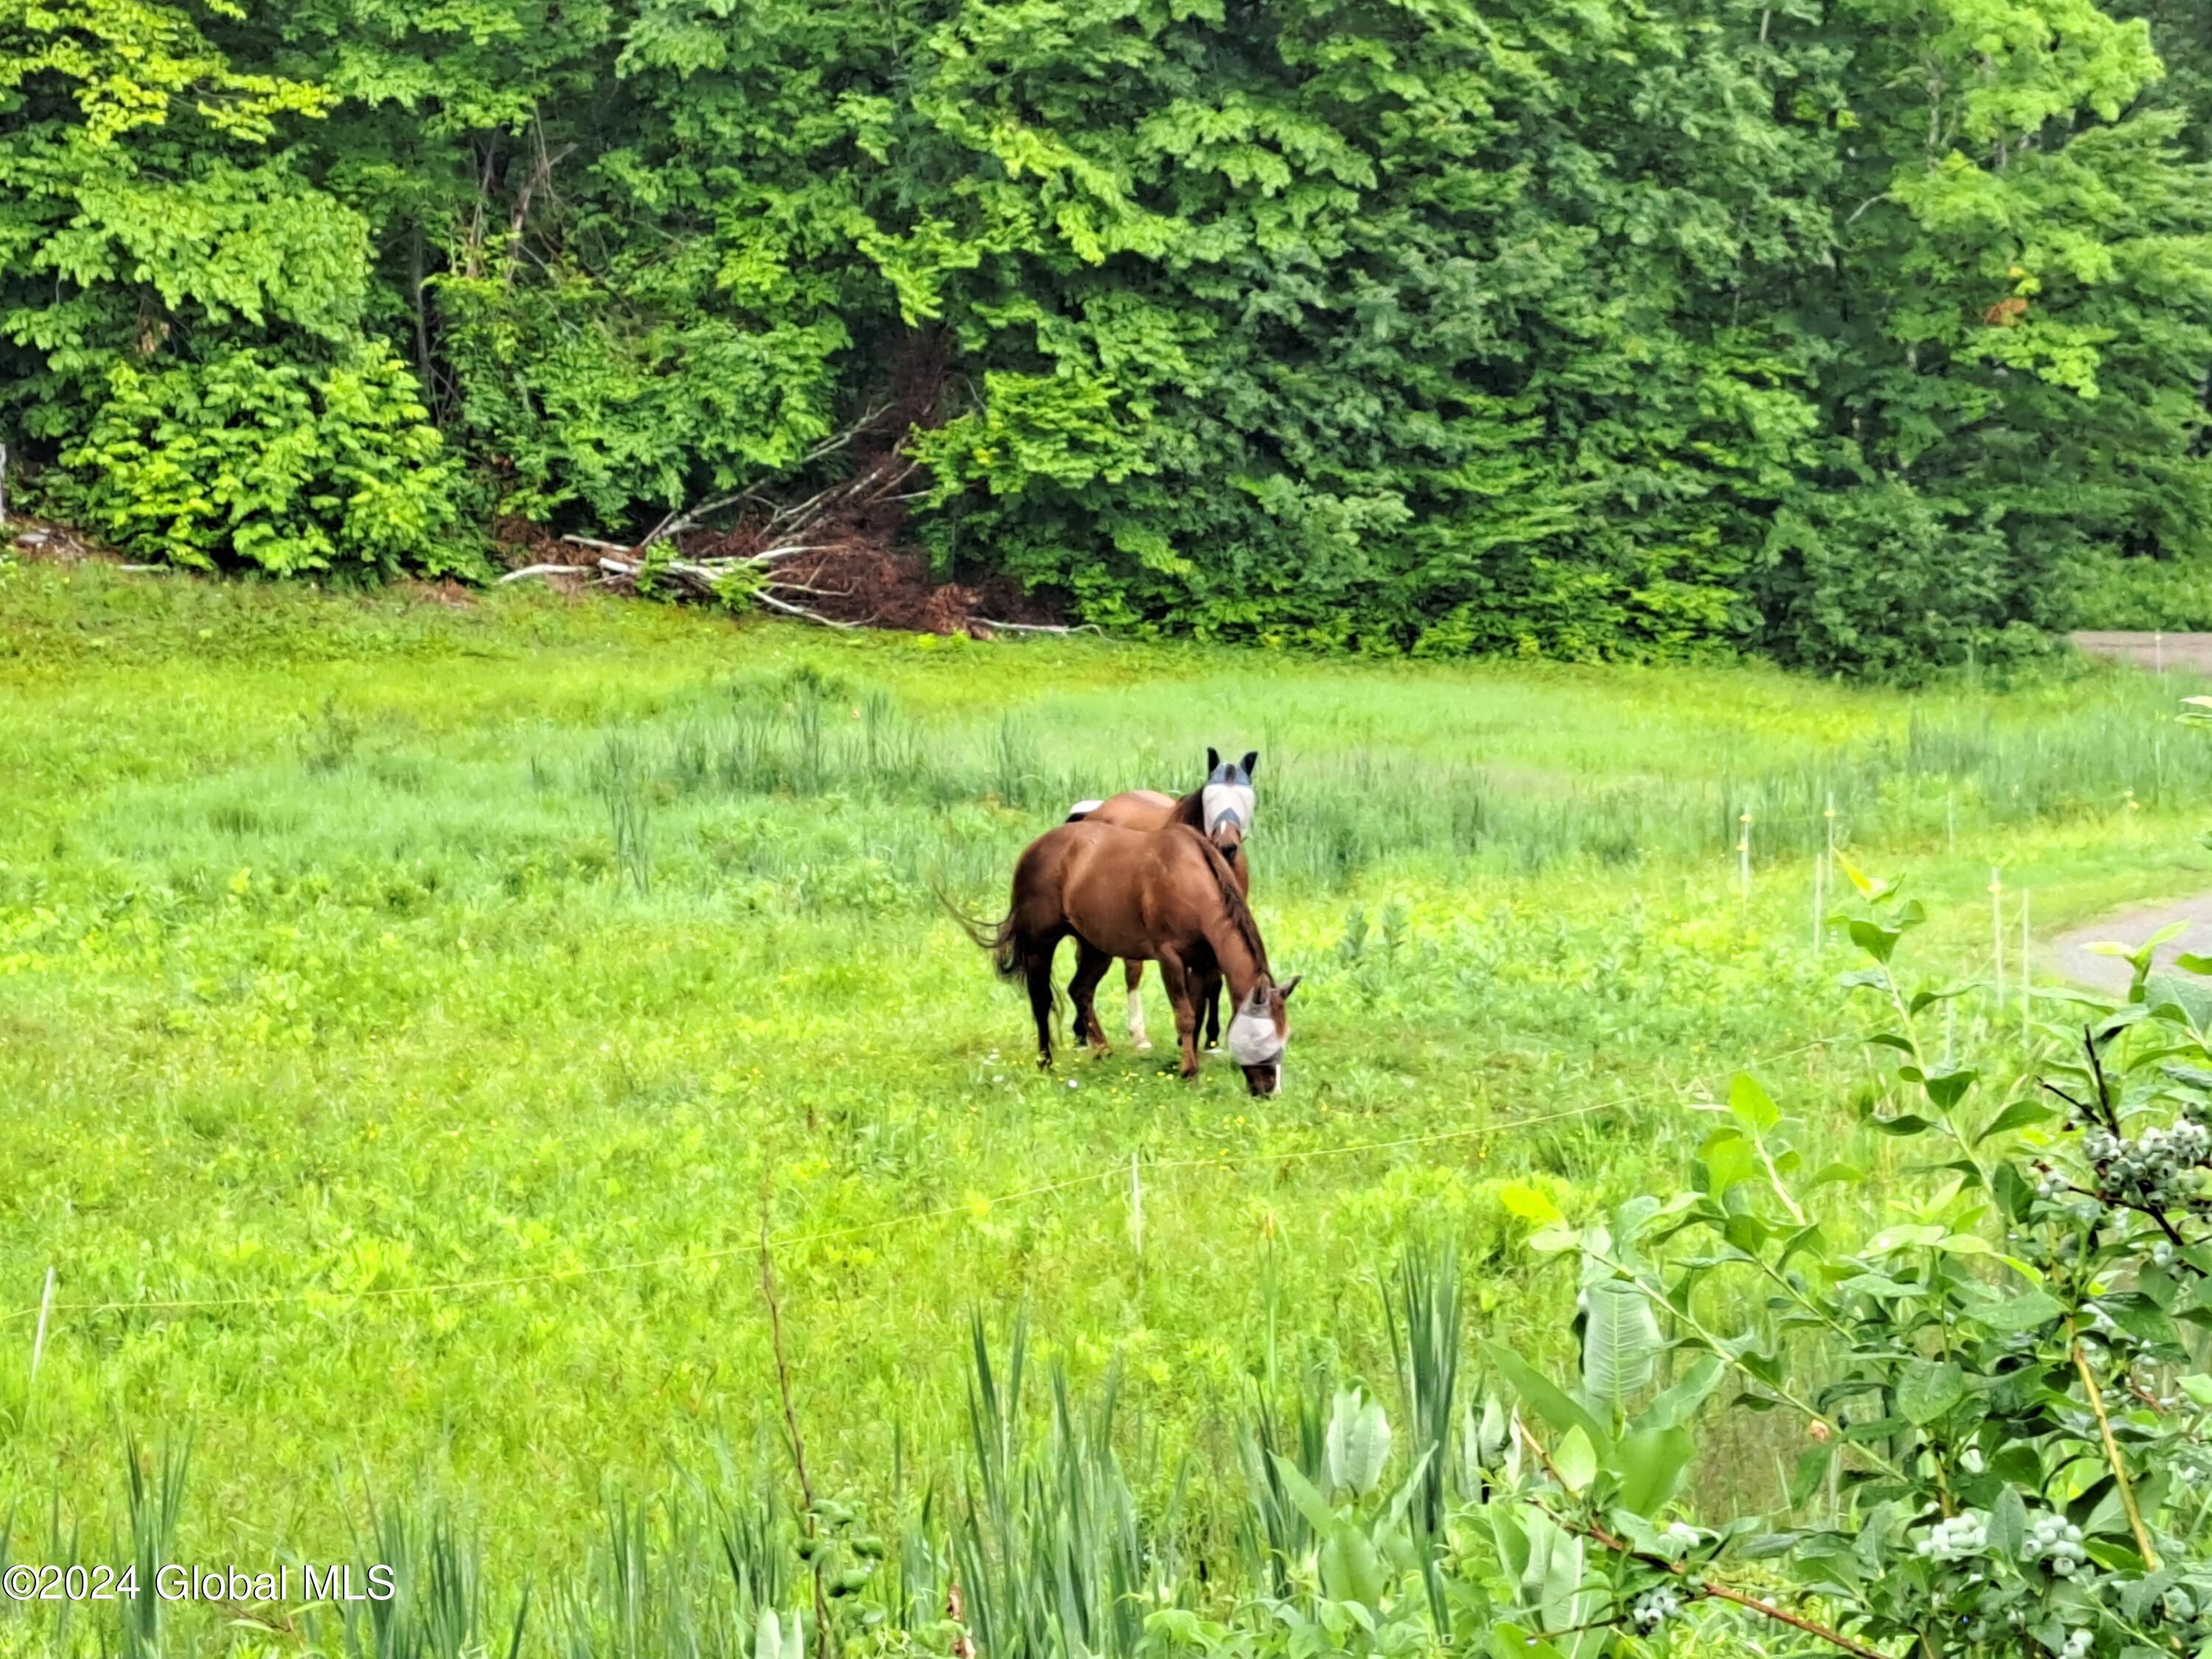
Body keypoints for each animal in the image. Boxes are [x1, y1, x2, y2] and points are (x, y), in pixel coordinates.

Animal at [951, 819, 1298, 1094]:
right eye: (1261, 1037)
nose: (1270, 1090)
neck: (1191, 881)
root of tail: (1033, 850)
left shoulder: (1203, 962)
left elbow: (1197, 1013)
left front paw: (1191, 1062)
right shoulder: (1170, 958)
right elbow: (1185, 1015)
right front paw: (1189, 1071)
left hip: (1095, 948)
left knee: (1080, 991)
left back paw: (1102, 1049)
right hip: (1040, 945)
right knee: (1041, 1001)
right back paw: (1045, 1062)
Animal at [1065, 749, 1258, 1050]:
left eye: (1245, 797)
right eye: (1210, 797)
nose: (1227, 845)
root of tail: (1094, 812)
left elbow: (1214, 980)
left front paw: (1211, 1039)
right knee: (1131, 972)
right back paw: (1129, 1036)